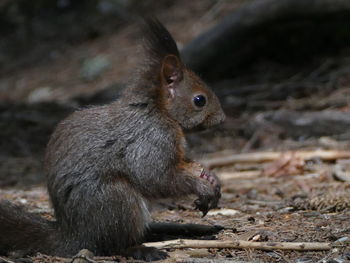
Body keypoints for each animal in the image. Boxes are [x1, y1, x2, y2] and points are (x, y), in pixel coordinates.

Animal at [0, 18, 224, 262]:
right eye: (199, 100)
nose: (222, 119)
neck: (158, 111)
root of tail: (75, 236)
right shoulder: (149, 139)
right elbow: (156, 177)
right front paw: (201, 185)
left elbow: (183, 165)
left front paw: (210, 177)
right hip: (116, 199)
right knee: (112, 245)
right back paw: (142, 249)